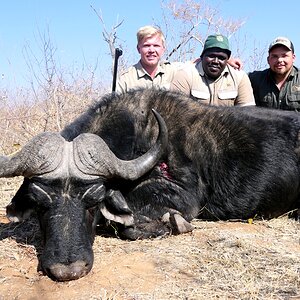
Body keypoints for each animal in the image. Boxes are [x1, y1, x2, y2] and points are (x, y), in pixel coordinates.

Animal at [0, 89, 300, 282]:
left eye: (93, 201)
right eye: (40, 203)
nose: (67, 270)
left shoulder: (182, 197)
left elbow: (130, 226)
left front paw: (173, 224)